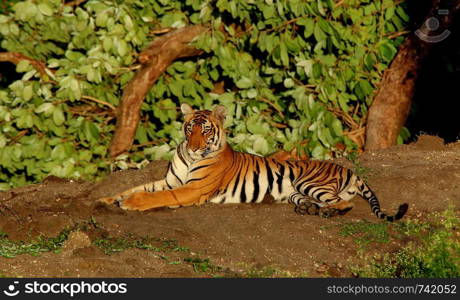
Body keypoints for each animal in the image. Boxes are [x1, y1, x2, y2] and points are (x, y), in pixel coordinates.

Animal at [99, 104, 408, 221]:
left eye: (206, 130)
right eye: (189, 128)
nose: (195, 147)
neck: (189, 158)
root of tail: (347, 169)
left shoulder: (191, 189)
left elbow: (157, 196)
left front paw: (130, 203)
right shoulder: (169, 180)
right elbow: (138, 187)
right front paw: (108, 199)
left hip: (309, 181)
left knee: (344, 203)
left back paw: (327, 212)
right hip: (297, 191)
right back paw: (308, 209)